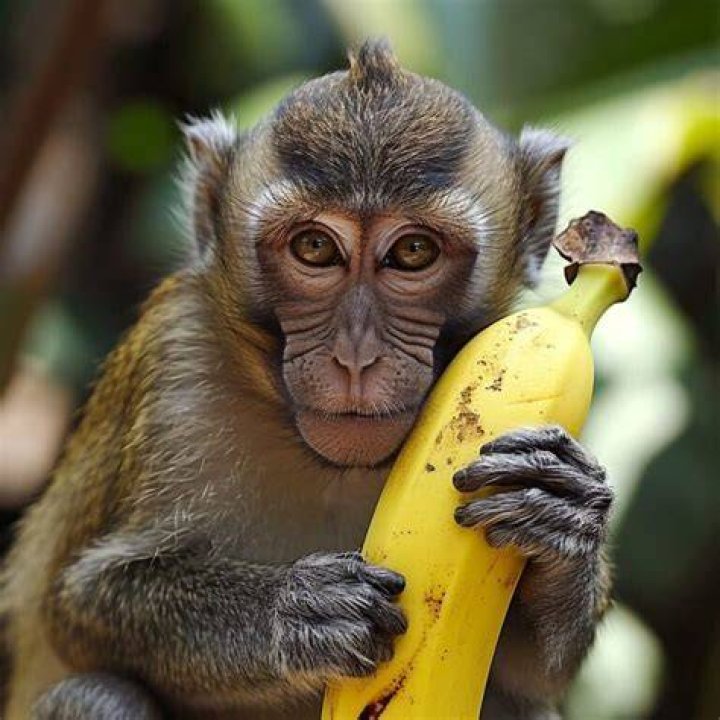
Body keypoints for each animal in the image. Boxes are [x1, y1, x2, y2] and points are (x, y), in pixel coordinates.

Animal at [0, 40, 613, 720]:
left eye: (414, 253)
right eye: (316, 248)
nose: (355, 356)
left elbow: (532, 674)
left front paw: (562, 515)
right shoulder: (173, 367)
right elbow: (79, 606)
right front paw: (293, 611)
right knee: (99, 695)